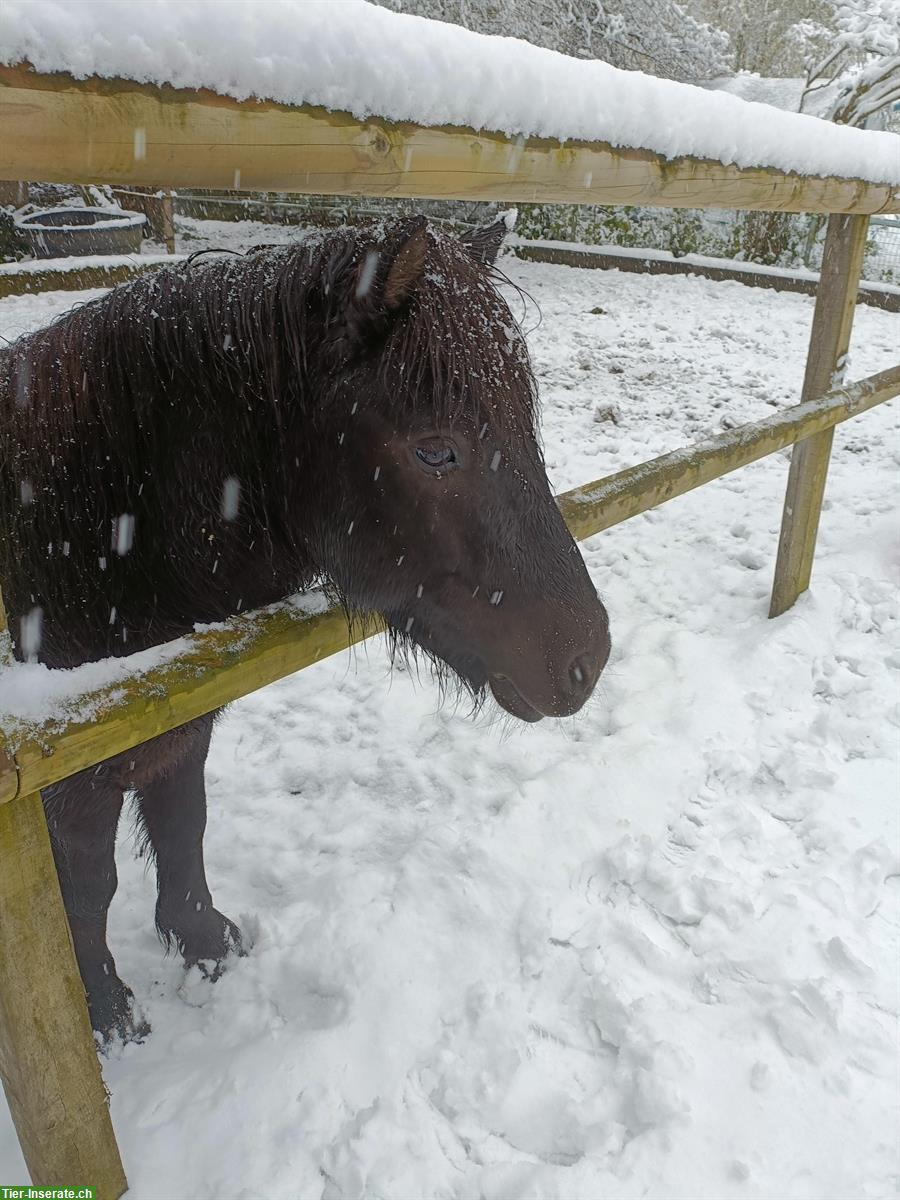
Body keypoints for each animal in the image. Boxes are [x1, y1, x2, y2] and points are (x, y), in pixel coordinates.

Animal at [0, 216, 609, 1041]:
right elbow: (88, 892)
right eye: (435, 449)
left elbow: (183, 826)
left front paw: (204, 940)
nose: (589, 658)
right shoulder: (67, 792)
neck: (85, 551)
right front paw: (106, 1011)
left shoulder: (180, 730)